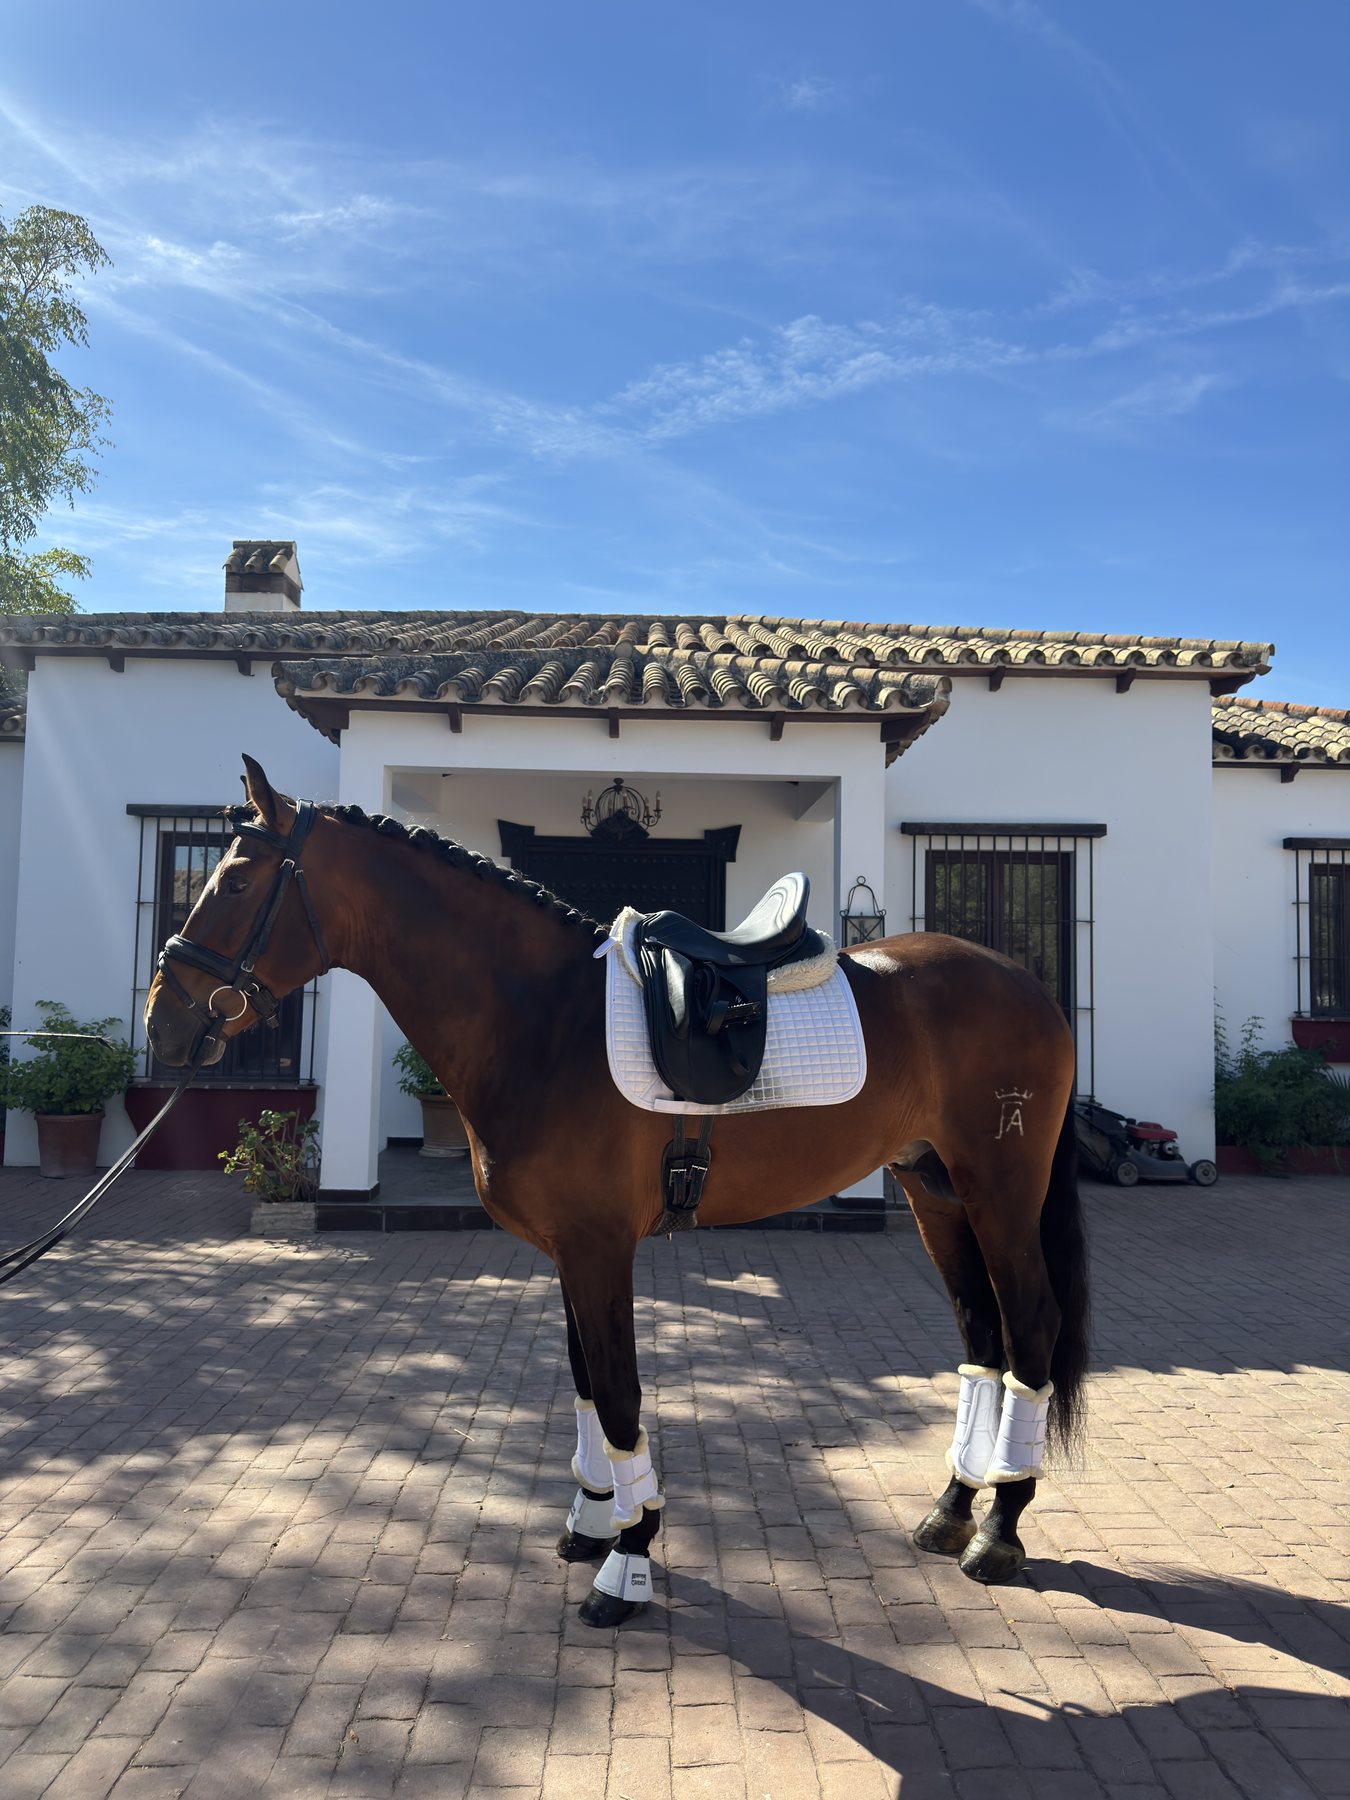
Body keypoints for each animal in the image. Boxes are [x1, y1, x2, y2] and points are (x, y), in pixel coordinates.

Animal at [146, 756, 1089, 1628]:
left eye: (236, 881)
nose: (164, 1022)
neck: (543, 1019)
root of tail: (1025, 983)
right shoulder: (568, 1251)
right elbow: (588, 1391)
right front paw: (594, 1523)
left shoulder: (600, 1248)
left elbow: (622, 1393)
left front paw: (628, 1561)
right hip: (936, 1192)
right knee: (983, 1338)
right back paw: (951, 1509)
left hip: (1000, 1191)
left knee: (1031, 1328)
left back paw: (999, 1531)